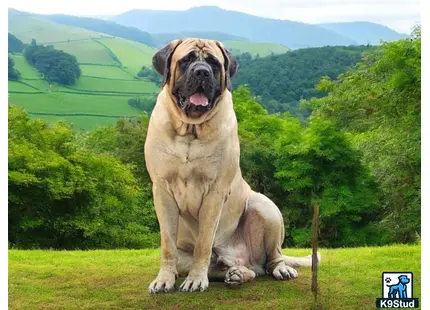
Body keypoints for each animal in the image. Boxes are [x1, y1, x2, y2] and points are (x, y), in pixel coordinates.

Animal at [144, 38, 320, 294]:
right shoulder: (162, 188)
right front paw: (164, 279)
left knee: (271, 259)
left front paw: (195, 280)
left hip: (263, 206)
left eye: (213, 63)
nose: (202, 72)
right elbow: (167, 243)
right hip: (194, 256)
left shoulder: (215, 191)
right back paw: (235, 273)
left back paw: (278, 269)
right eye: (186, 60)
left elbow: (204, 241)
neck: (191, 130)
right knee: (243, 269)